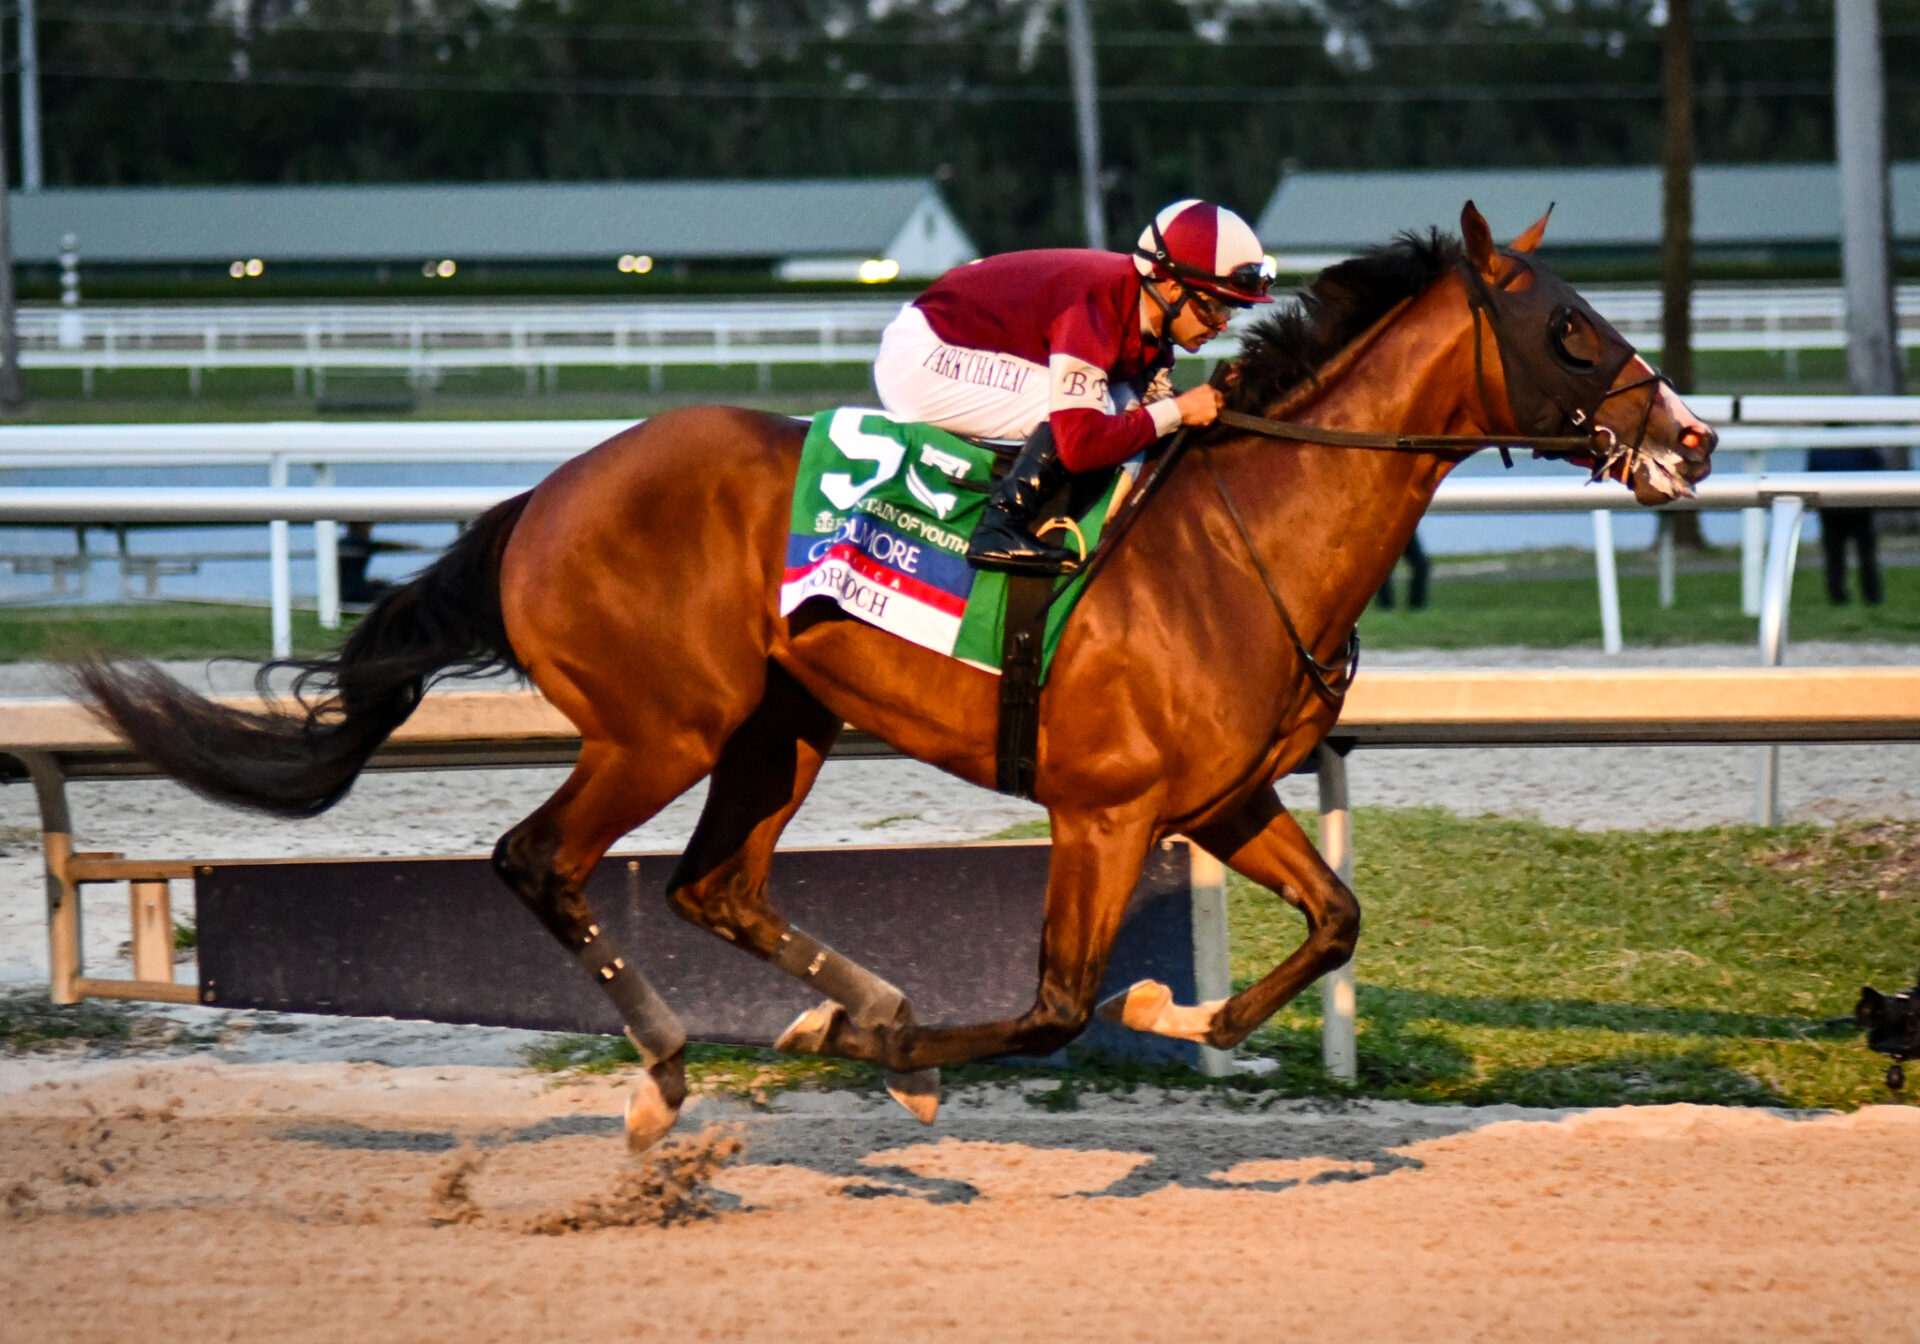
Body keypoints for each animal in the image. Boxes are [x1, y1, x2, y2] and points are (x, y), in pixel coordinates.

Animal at [82, 204, 1720, 1152]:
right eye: (1572, 328)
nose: (1696, 438)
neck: (1239, 541)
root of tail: (547, 493)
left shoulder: (1225, 795)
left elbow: (1334, 922)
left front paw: (1169, 1022)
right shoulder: (1104, 812)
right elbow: (1056, 1004)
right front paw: (932, 1049)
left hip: (779, 727)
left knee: (711, 887)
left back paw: (828, 1011)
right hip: (661, 727)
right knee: (542, 860)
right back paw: (671, 1070)